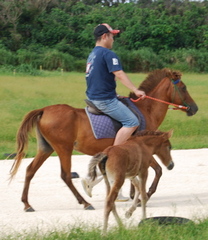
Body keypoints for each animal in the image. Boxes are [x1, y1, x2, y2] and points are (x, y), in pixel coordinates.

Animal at [10, 68, 198, 212]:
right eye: (183, 87)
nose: (194, 108)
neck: (146, 110)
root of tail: (44, 110)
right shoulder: (143, 149)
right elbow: (158, 170)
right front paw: (141, 197)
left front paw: (132, 194)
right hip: (64, 149)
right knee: (65, 175)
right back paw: (85, 203)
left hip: (46, 148)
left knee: (30, 171)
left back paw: (27, 204)